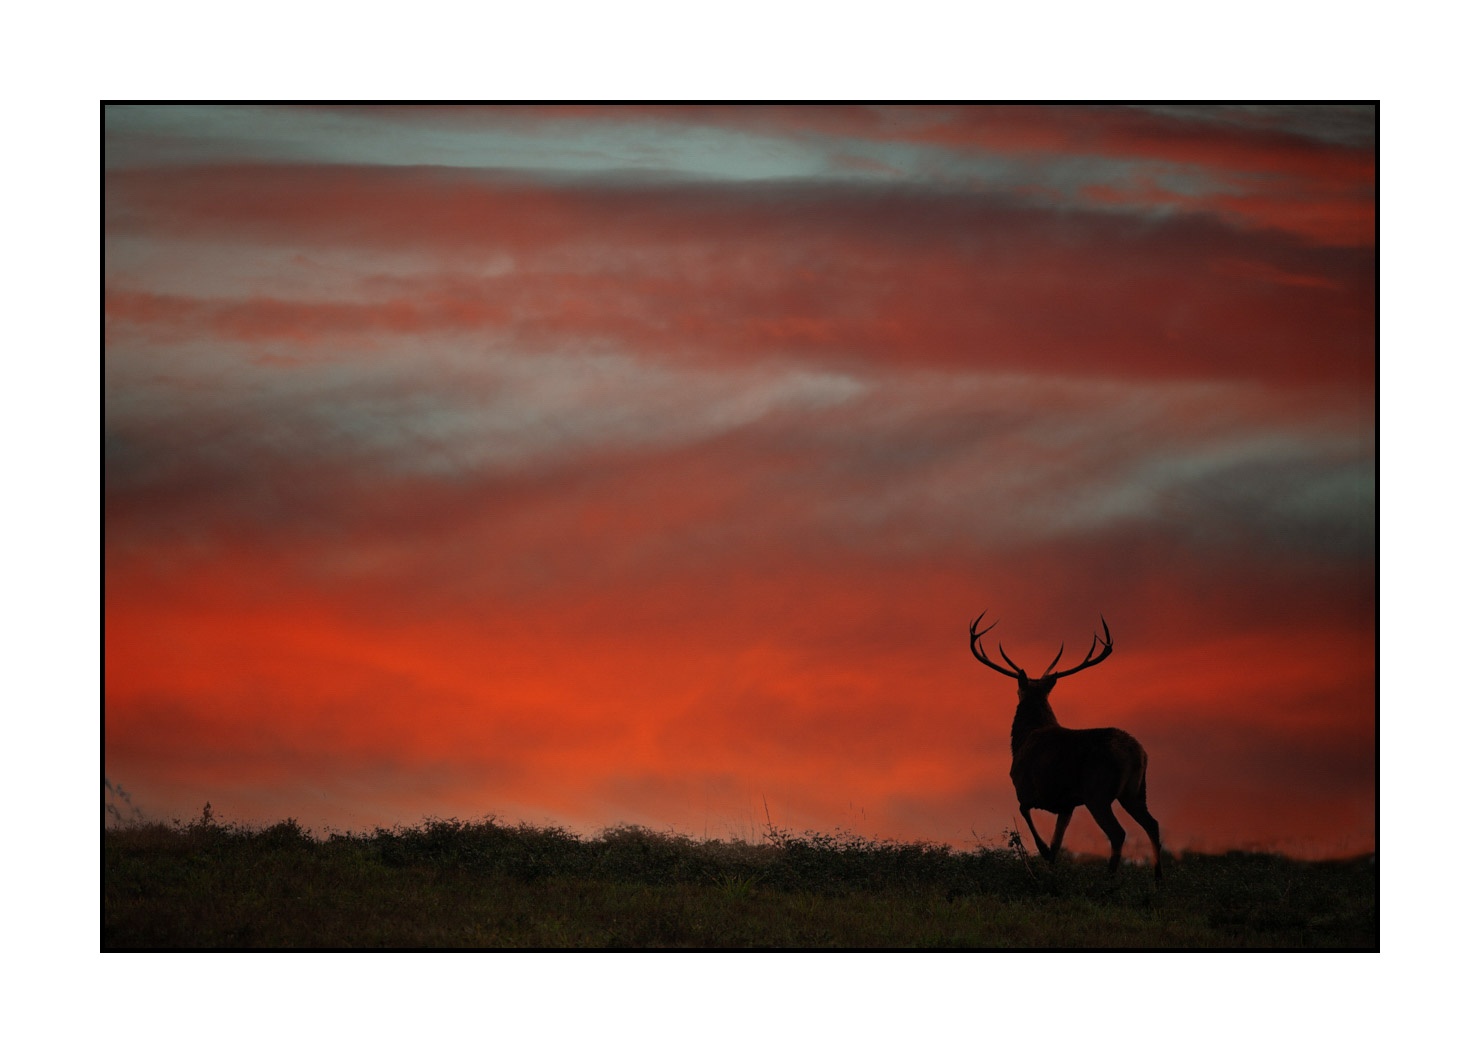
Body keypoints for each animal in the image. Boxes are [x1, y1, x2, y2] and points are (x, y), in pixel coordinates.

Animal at [970, 610, 1162, 883]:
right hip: (1135, 791)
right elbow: (1057, 842)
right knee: (1152, 824)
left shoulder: (1026, 788)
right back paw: (1158, 880)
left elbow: (1029, 819)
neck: (1022, 739)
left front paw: (1041, 856)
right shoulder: (1068, 804)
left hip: (1098, 791)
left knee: (1118, 832)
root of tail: (1136, 753)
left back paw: (1109, 880)